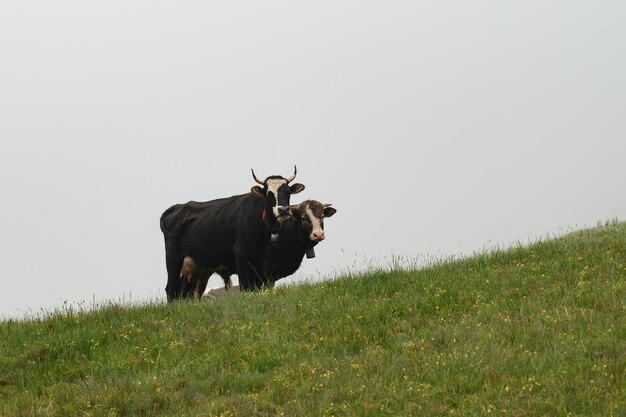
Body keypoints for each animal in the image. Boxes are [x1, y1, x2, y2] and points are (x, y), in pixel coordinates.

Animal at [160, 166, 304, 300]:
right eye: (269, 194)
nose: (283, 210)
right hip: (173, 259)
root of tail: (178, 206)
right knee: (171, 289)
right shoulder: (241, 255)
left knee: (182, 291)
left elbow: (254, 288)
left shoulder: (259, 262)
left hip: (192, 265)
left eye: (288, 192)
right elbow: (245, 287)